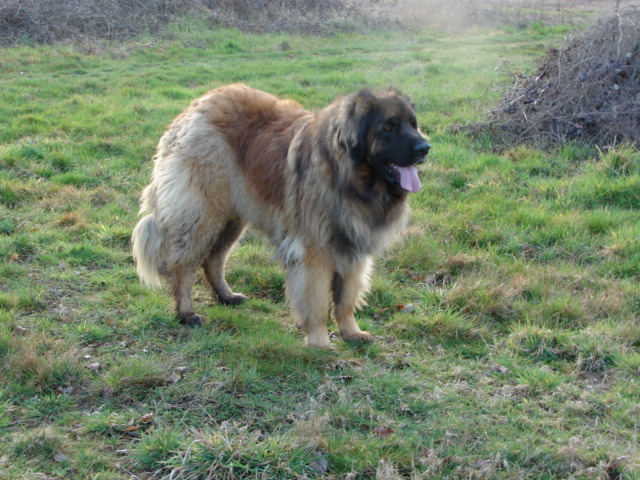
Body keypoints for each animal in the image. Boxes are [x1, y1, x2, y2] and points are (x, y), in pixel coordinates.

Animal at [131, 84, 430, 348]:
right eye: (388, 128)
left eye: (413, 124)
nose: (425, 148)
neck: (350, 178)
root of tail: (194, 108)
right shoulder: (314, 252)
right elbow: (317, 301)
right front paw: (320, 343)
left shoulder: (354, 248)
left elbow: (346, 299)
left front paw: (352, 333)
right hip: (204, 214)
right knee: (184, 265)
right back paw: (186, 313)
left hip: (233, 218)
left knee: (214, 260)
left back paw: (227, 297)